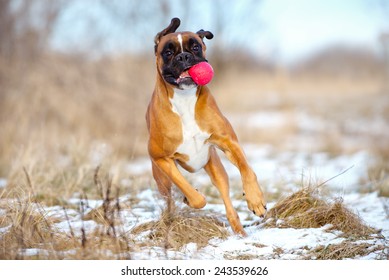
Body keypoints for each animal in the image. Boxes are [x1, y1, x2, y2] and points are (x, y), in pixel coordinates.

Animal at [144, 18, 266, 236]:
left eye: (195, 47)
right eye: (168, 52)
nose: (184, 56)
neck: (184, 98)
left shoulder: (229, 142)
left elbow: (247, 170)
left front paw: (256, 199)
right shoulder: (160, 157)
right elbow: (192, 195)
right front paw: (191, 197)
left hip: (216, 169)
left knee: (228, 203)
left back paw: (240, 232)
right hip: (161, 180)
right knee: (170, 200)